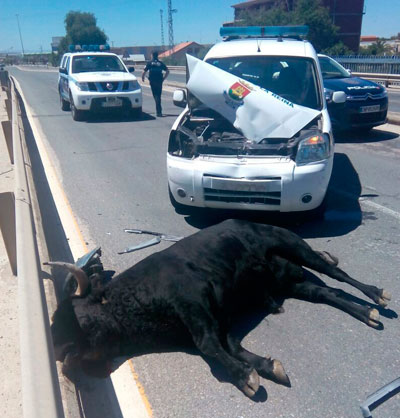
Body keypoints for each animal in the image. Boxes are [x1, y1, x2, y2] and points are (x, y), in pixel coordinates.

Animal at [45, 219, 392, 398]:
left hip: (293, 245)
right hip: (292, 283)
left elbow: (210, 347)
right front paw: (267, 368)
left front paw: (247, 379)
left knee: (337, 274)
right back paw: (366, 314)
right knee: (328, 292)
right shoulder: (219, 322)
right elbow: (230, 348)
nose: (58, 351)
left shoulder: (195, 305)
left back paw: (378, 298)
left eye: (72, 315)